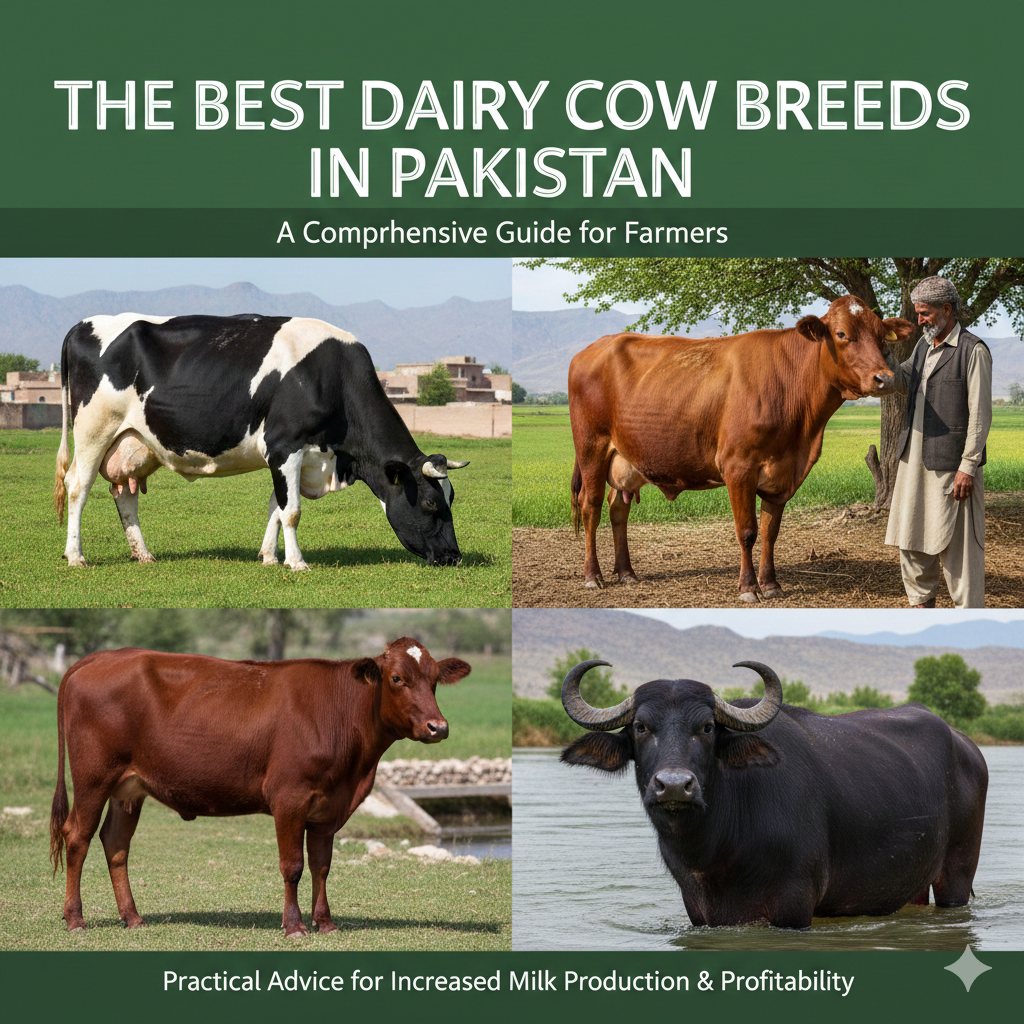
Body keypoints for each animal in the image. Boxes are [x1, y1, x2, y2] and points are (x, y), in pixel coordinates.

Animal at [49, 640, 471, 937]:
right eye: (397, 679)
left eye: (435, 680)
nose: (438, 727)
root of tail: (100, 657)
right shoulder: (289, 797)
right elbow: (293, 866)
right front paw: (294, 926)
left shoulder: (328, 808)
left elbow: (322, 865)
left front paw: (325, 922)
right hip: (93, 777)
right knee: (77, 836)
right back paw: (74, 919)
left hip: (128, 788)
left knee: (115, 843)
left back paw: (133, 917)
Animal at [53, 314, 469, 570]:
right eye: (431, 503)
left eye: (451, 500)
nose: (453, 556)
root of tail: (83, 325)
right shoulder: (287, 446)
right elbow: (293, 510)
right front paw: (297, 562)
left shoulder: (289, 456)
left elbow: (277, 507)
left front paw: (269, 557)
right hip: (93, 430)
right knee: (78, 487)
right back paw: (75, 556)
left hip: (132, 442)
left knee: (124, 494)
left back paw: (143, 554)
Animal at [560, 659, 987, 930]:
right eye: (641, 727)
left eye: (707, 728)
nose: (675, 785)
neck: (717, 850)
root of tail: (966, 745)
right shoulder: (698, 910)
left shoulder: (795, 905)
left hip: (957, 873)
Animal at [568, 296, 916, 601]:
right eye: (842, 334)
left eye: (881, 335)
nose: (885, 379)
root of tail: (594, 347)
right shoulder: (738, 468)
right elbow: (747, 531)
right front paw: (749, 587)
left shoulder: (783, 474)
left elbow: (771, 532)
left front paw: (771, 584)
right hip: (592, 447)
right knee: (590, 506)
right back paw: (593, 576)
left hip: (624, 459)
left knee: (618, 508)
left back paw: (626, 572)